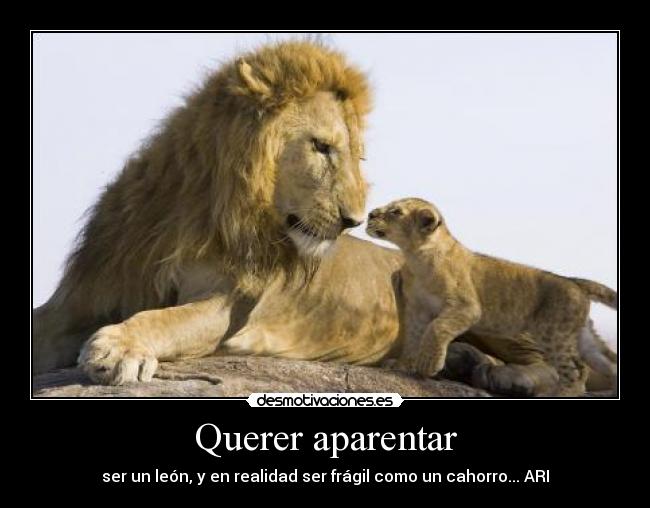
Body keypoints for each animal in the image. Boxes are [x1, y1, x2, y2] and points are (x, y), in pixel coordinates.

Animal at [366, 198, 618, 396]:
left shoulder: (466, 307)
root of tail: (574, 281)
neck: (415, 256)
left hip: (553, 333)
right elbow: (413, 337)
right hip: (582, 336)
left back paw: (562, 393)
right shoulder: (417, 310)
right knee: (603, 362)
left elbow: (436, 328)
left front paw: (428, 365)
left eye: (396, 212)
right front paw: (404, 365)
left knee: (574, 370)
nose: (370, 214)